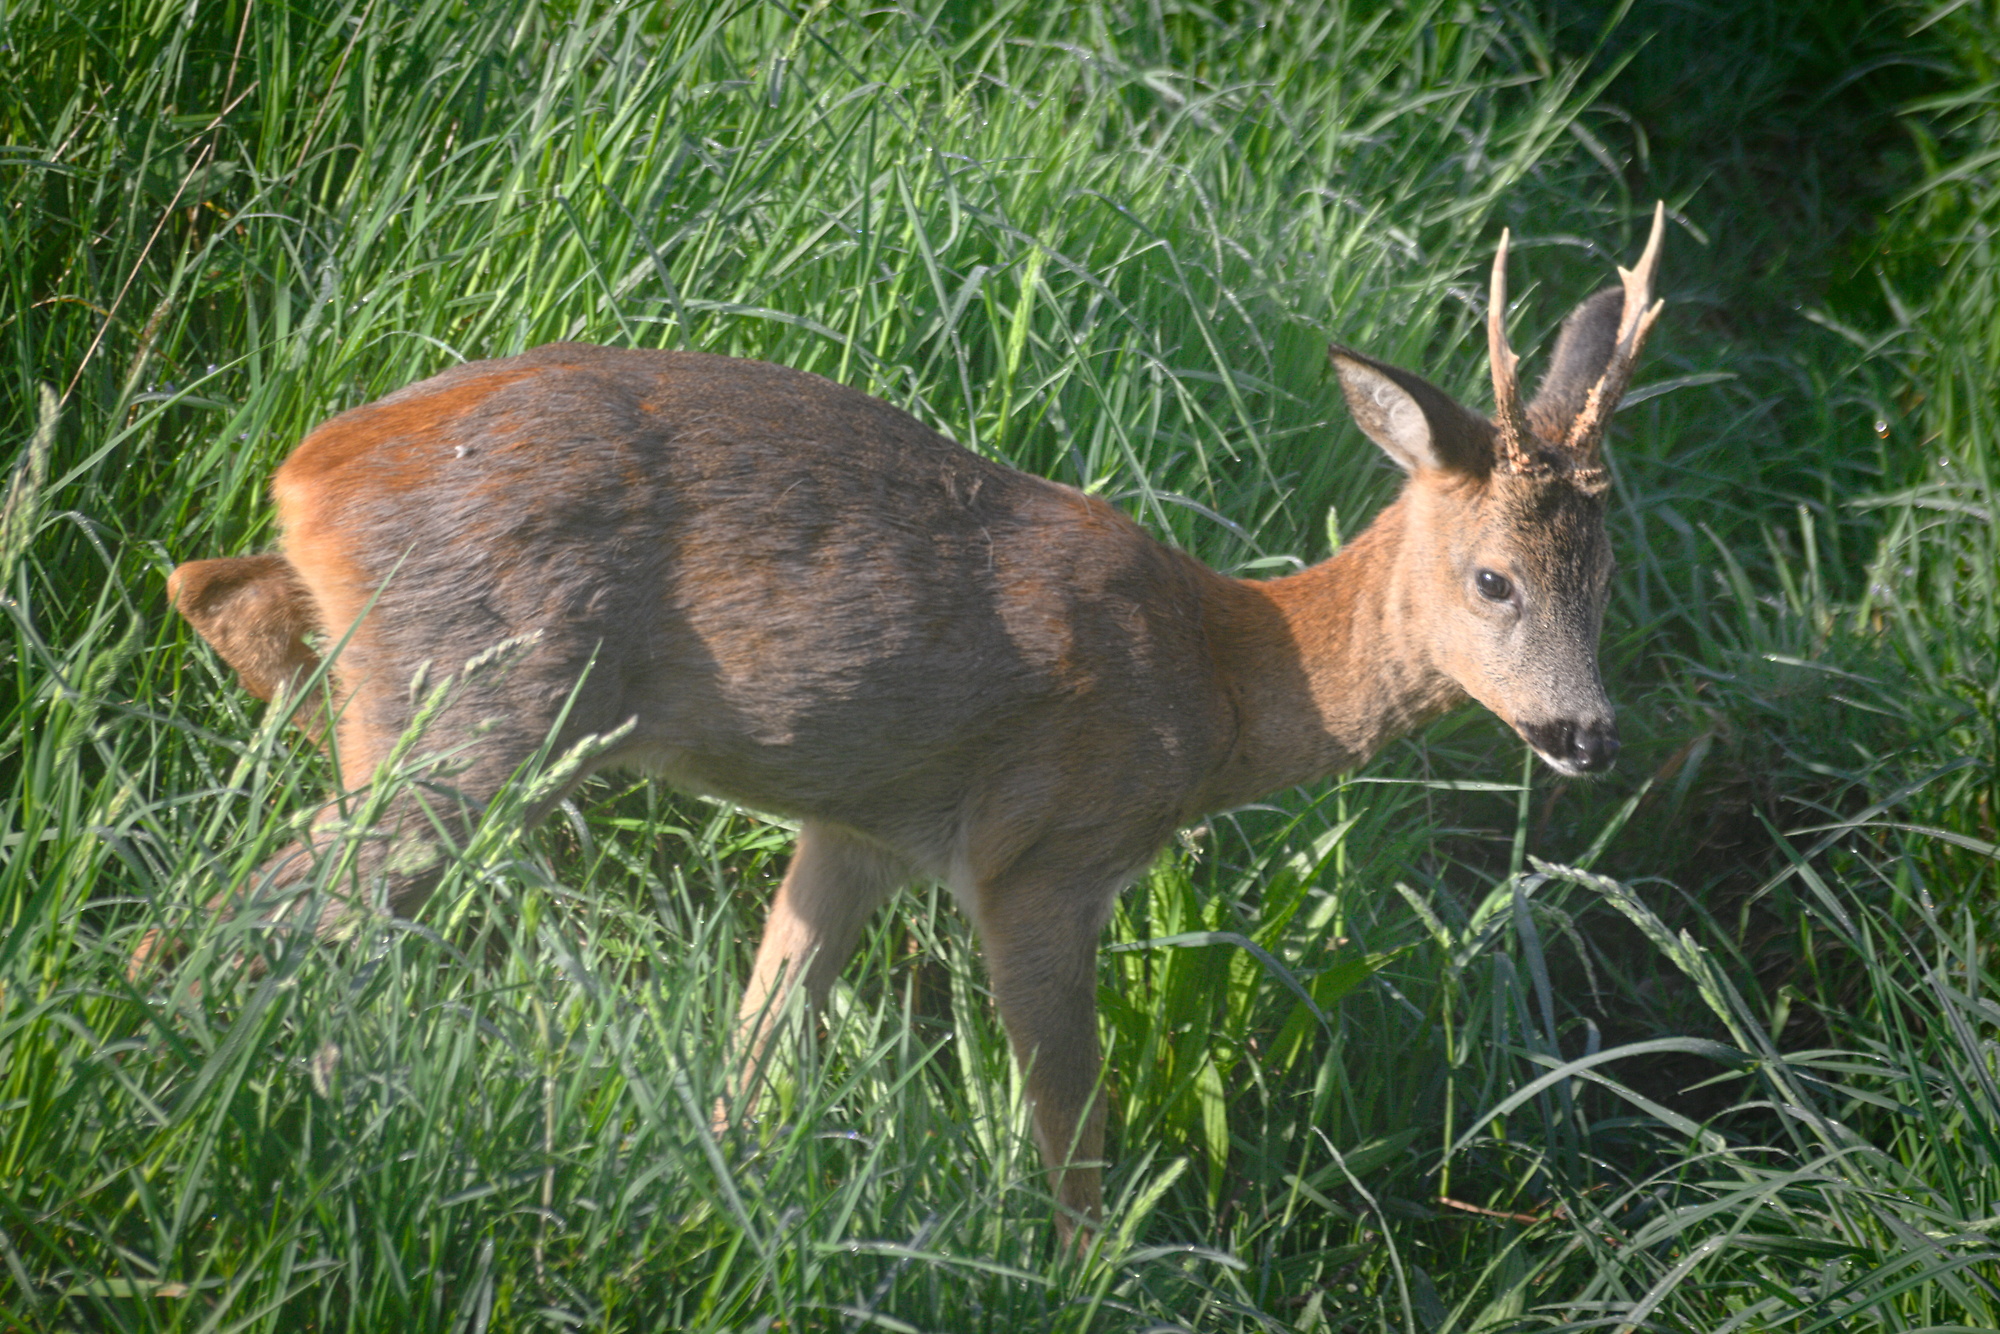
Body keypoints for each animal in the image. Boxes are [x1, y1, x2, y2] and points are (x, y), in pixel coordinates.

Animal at [156, 206, 1664, 1240]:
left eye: (1605, 578)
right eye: (1494, 578)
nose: (1588, 734)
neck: (1227, 677)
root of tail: (311, 469)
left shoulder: (859, 826)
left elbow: (762, 1043)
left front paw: (727, 1188)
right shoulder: (1039, 851)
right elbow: (1071, 1118)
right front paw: (1090, 1274)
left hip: (423, 679)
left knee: (213, 597)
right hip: (475, 707)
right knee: (264, 906)